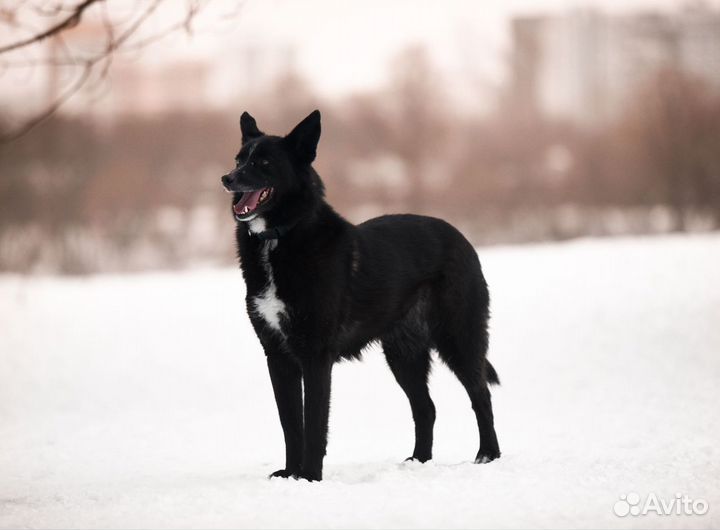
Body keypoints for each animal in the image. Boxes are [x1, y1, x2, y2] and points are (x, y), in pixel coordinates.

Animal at [221, 110, 500, 478]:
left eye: (264, 162)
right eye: (239, 159)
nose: (226, 178)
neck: (279, 238)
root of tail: (461, 237)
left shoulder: (315, 355)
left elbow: (314, 424)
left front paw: (310, 477)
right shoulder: (277, 356)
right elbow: (290, 424)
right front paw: (290, 475)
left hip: (459, 339)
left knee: (481, 396)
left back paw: (488, 455)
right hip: (403, 354)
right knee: (426, 408)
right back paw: (419, 461)